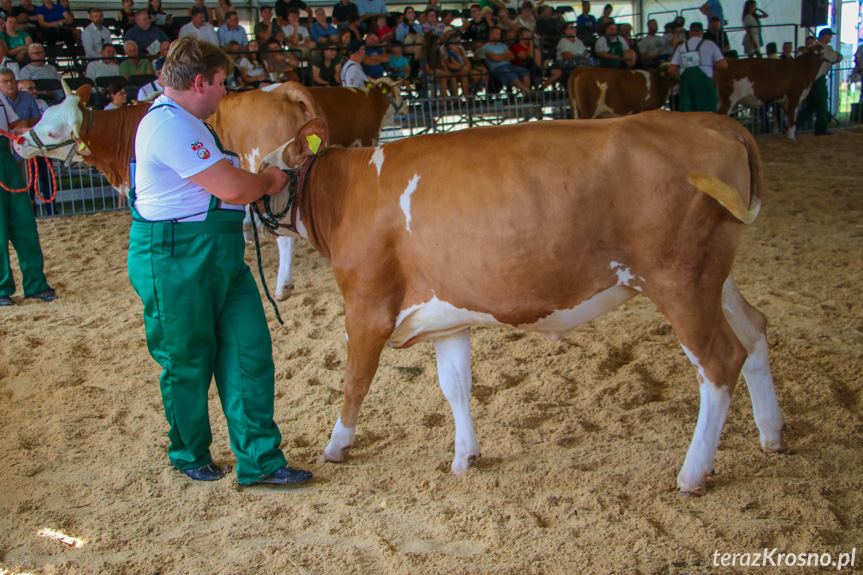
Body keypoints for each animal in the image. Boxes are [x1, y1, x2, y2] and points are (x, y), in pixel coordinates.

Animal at [255, 111, 784, 496]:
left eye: (264, 172)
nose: (246, 212)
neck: (347, 191)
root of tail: (710, 120)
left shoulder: (366, 307)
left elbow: (354, 384)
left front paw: (336, 447)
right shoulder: (447, 316)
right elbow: (456, 387)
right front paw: (465, 455)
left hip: (679, 281)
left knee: (719, 362)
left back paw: (692, 475)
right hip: (715, 278)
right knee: (755, 329)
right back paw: (772, 435)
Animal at [716, 47, 844, 140]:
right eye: (830, 49)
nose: (840, 55)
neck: (803, 70)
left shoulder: (783, 100)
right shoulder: (794, 97)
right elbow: (792, 118)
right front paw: (792, 138)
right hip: (728, 99)